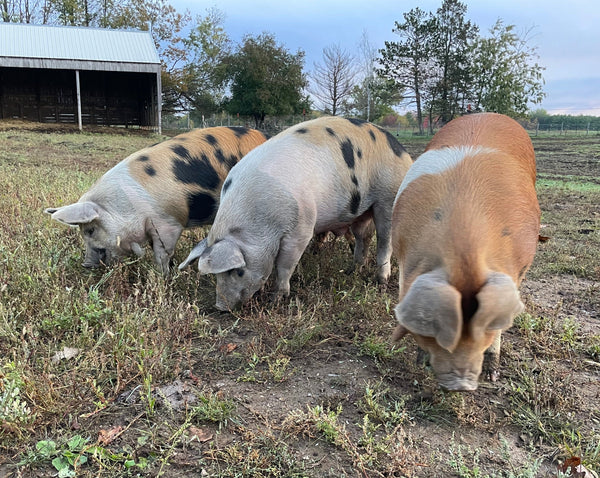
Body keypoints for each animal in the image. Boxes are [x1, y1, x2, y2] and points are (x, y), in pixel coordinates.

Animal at [46, 127, 270, 274]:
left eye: (91, 230)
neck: (127, 206)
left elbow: (161, 252)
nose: (86, 264)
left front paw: (162, 275)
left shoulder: (168, 223)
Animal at [178, 116, 412, 310]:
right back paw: (352, 271)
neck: (260, 222)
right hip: (361, 212)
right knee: (363, 238)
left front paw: (276, 299)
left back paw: (381, 281)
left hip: (387, 197)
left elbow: (284, 265)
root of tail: (403, 152)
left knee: (385, 241)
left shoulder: (301, 228)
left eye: (238, 271)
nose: (220, 307)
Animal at [392, 113, 540, 392]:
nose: (461, 384)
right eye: (436, 328)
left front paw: (493, 377)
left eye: (483, 329)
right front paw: (420, 362)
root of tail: (487, 114)